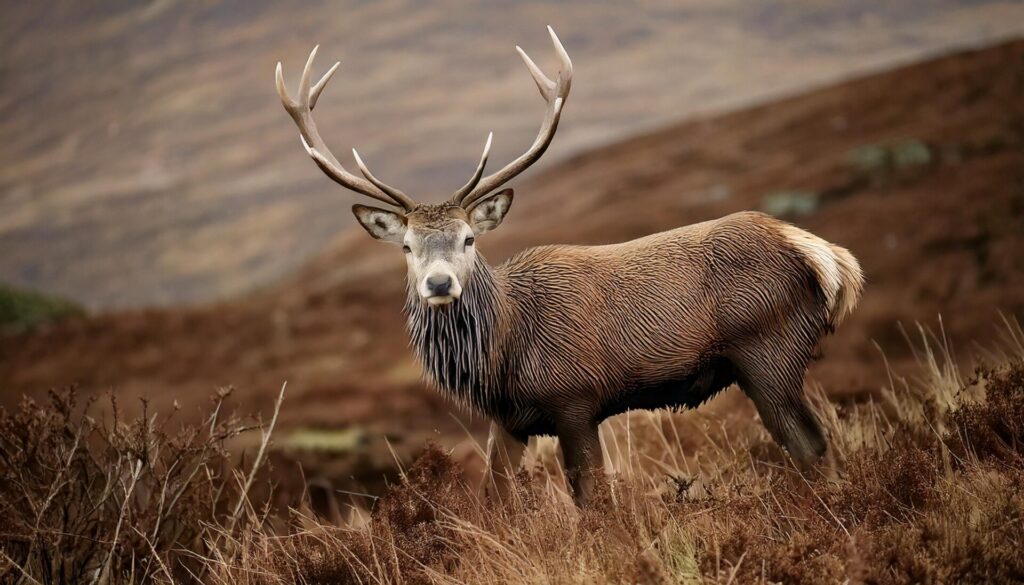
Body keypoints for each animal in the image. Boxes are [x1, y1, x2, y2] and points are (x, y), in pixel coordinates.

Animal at [275, 27, 864, 505]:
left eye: (469, 238)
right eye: (406, 245)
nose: (439, 283)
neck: (501, 353)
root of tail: (827, 256)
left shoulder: (575, 400)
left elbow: (594, 500)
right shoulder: (508, 421)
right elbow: (497, 500)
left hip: (767, 349)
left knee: (809, 444)